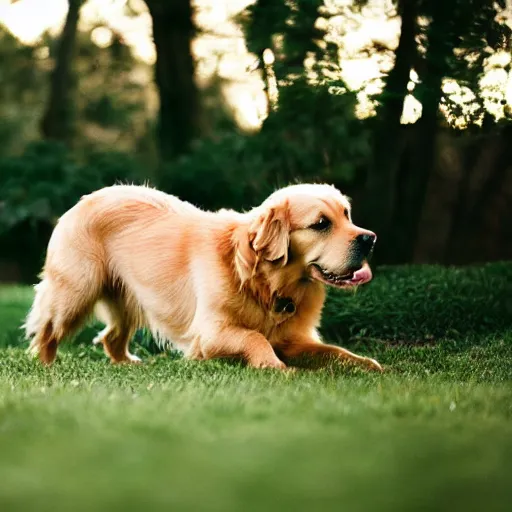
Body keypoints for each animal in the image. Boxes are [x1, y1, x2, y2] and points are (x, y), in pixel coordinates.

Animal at [25, 185, 380, 372]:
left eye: (346, 215)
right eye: (321, 224)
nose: (370, 239)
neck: (265, 282)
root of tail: (86, 198)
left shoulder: (294, 339)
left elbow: (333, 350)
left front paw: (366, 363)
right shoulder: (210, 334)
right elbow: (255, 337)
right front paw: (274, 366)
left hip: (129, 298)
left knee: (111, 337)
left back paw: (130, 363)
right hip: (75, 292)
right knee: (47, 331)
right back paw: (44, 365)